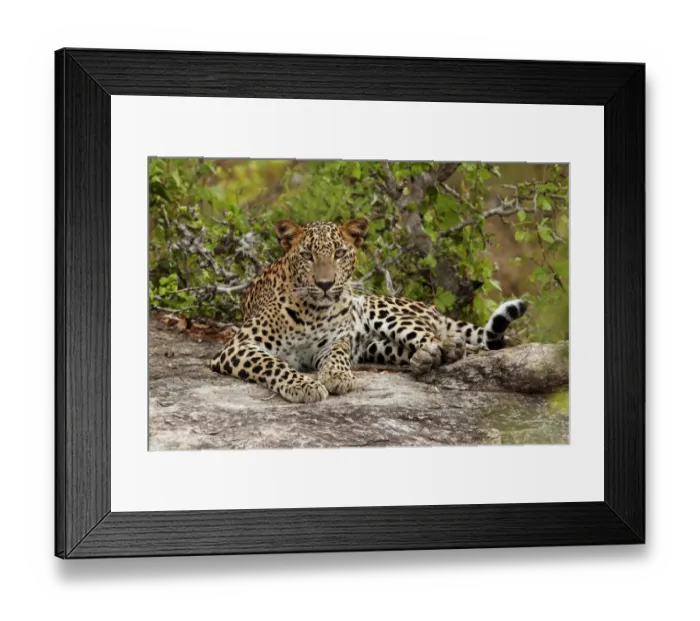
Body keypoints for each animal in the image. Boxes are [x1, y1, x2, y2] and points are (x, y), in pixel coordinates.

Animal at [210, 217, 528, 403]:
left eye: (339, 253)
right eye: (307, 255)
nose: (325, 284)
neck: (313, 311)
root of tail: (432, 307)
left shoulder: (334, 342)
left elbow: (337, 356)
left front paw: (337, 376)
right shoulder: (238, 346)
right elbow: (274, 364)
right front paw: (303, 385)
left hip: (381, 310)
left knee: (434, 336)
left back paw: (444, 348)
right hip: (377, 347)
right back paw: (424, 359)